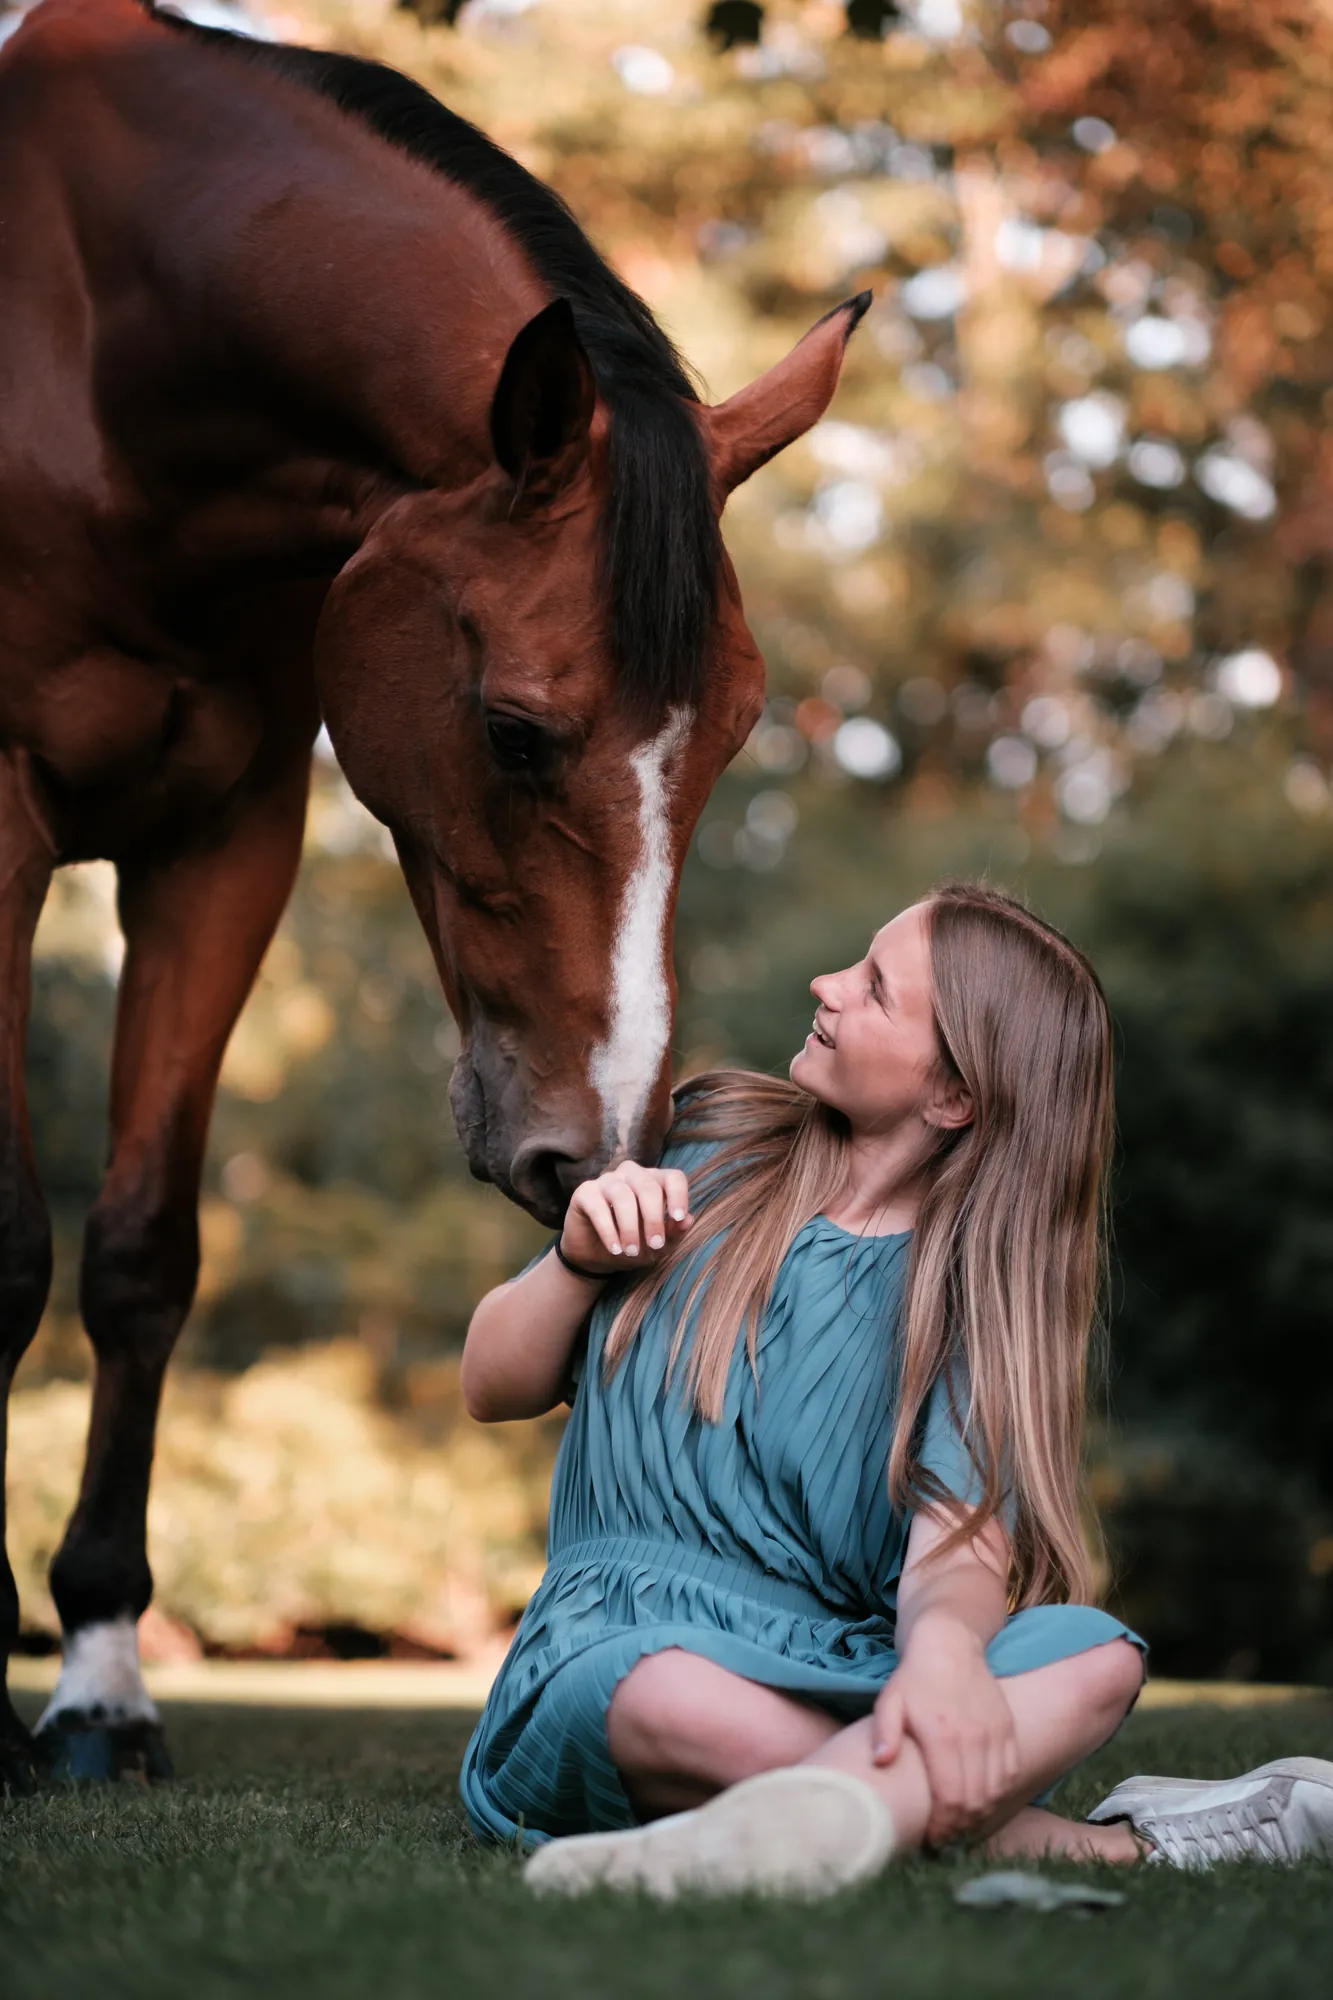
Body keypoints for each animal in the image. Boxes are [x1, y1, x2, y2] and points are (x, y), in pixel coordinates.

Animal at [0, 0, 868, 1790]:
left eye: (737, 738)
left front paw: (99, 1688)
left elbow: (140, 1255)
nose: (592, 1153)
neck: (104, 362)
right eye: (517, 729)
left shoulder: (224, 847)